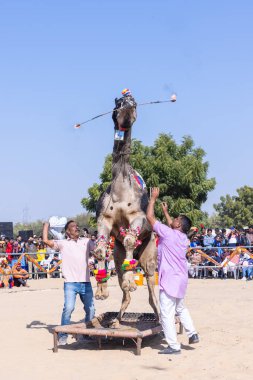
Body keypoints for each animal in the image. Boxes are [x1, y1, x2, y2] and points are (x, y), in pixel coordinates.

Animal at [94, 90, 159, 326]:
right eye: (118, 102)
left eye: (135, 103)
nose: (129, 105)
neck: (121, 187)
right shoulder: (103, 219)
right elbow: (100, 249)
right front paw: (101, 291)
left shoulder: (137, 216)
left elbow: (131, 238)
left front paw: (132, 281)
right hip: (118, 253)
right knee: (125, 290)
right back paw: (116, 321)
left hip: (149, 256)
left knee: (151, 290)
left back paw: (160, 320)